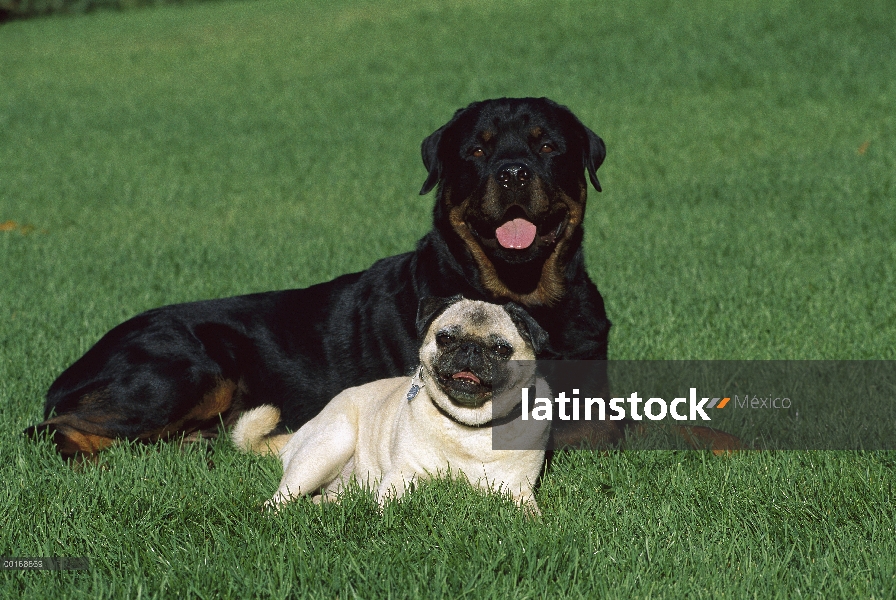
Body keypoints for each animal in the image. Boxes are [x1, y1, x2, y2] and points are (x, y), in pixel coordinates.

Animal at [26, 97, 616, 460]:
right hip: (189, 367)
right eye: (476, 149)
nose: (513, 171)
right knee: (47, 429)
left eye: (547, 145)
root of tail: (73, 368)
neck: (527, 296)